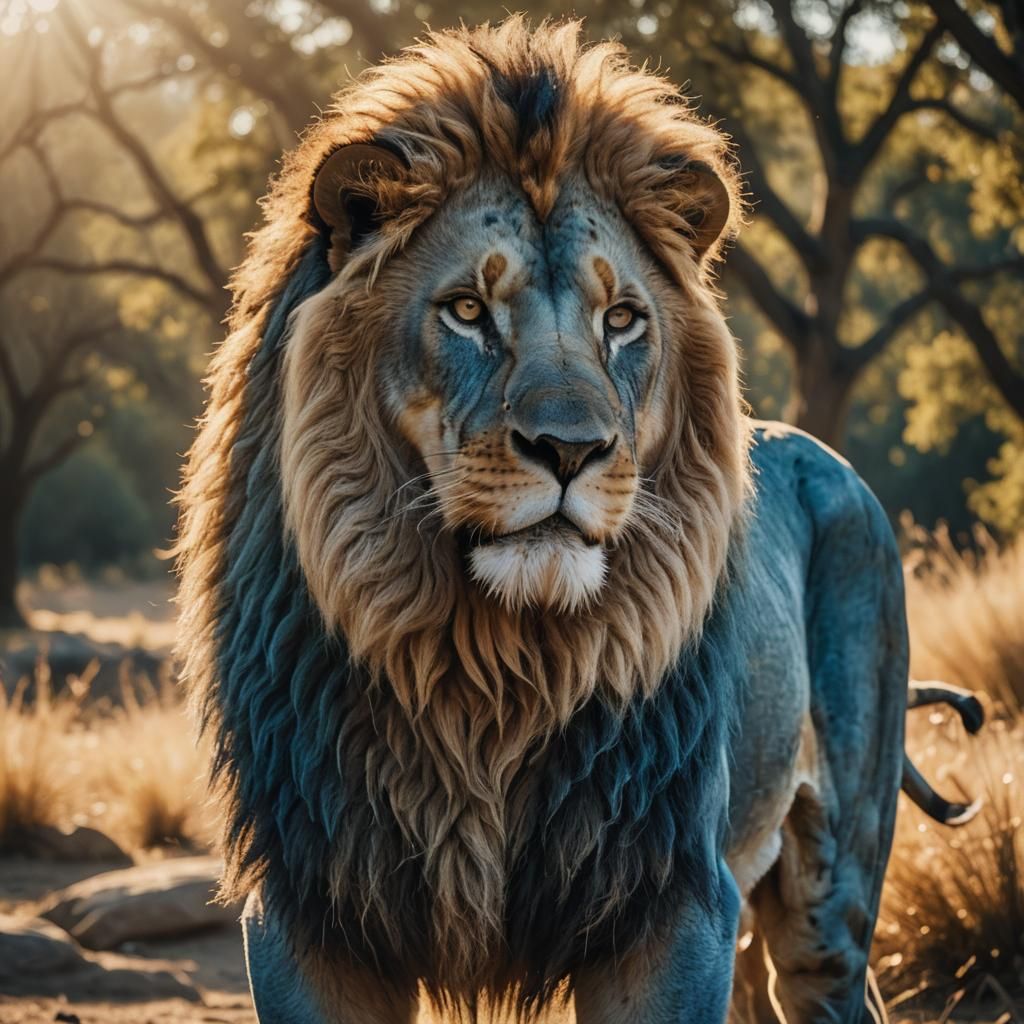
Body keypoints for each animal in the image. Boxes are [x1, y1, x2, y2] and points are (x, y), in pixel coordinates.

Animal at [175, 18, 981, 1024]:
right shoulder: (309, 904)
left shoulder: (672, 899)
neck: (490, 670)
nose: (571, 449)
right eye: (468, 310)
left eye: (623, 319)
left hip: (829, 881)